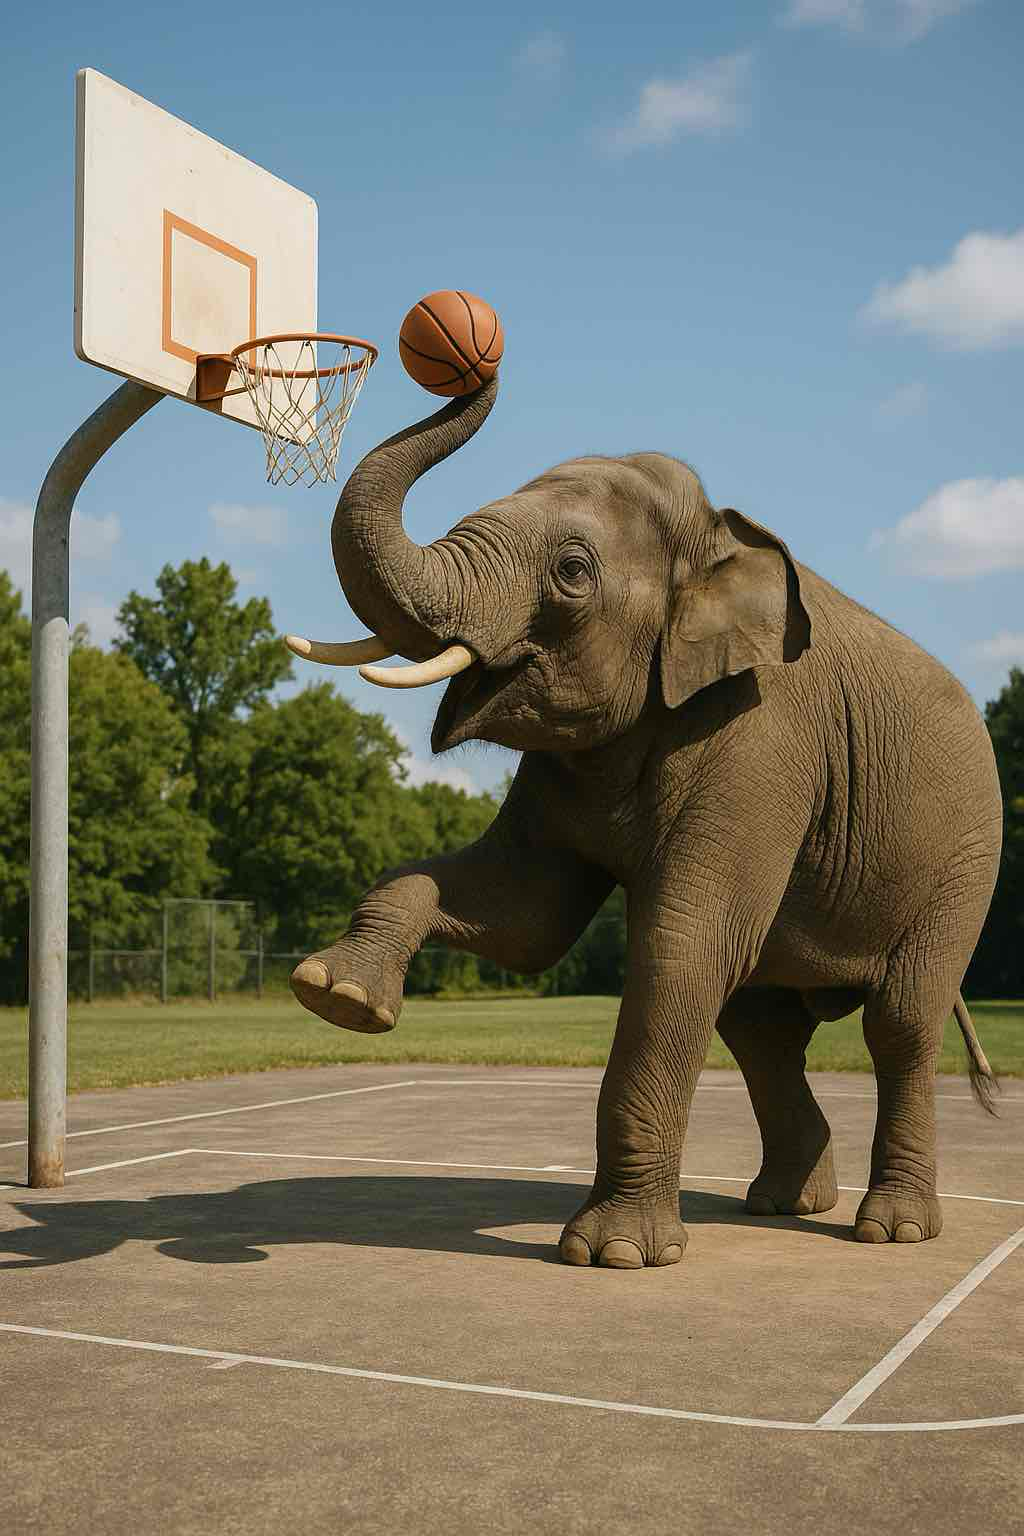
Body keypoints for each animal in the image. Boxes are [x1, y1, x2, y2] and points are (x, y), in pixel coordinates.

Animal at [286, 379, 1002, 1270]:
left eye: (571, 571)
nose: (469, 368)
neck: (716, 537)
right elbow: (526, 920)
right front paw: (338, 996)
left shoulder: (761, 741)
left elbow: (681, 944)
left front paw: (613, 1256)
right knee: (761, 1029)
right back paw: (783, 1205)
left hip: (967, 858)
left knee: (899, 1019)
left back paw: (890, 1230)